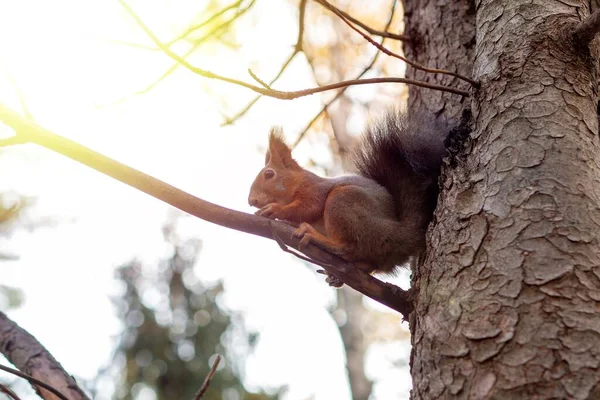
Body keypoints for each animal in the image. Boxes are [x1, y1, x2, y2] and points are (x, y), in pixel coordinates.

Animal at [246, 108, 448, 286]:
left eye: (269, 174)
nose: (251, 201)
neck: (296, 183)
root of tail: (401, 233)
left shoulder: (315, 190)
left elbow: (309, 207)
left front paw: (274, 210)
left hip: (343, 202)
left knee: (346, 245)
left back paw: (314, 236)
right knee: (370, 262)